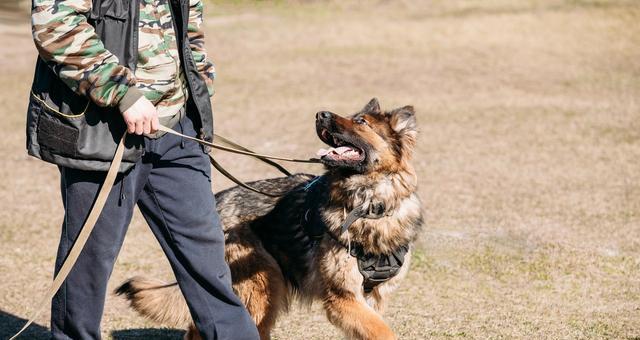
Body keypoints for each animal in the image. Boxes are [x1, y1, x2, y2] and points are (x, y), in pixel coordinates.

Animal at [117, 97, 422, 338]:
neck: (370, 204)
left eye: (360, 121)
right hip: (262, 291)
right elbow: (384, 332)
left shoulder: (371, 299)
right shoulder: (343, 298)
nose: (320, 114)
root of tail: (217, 200)